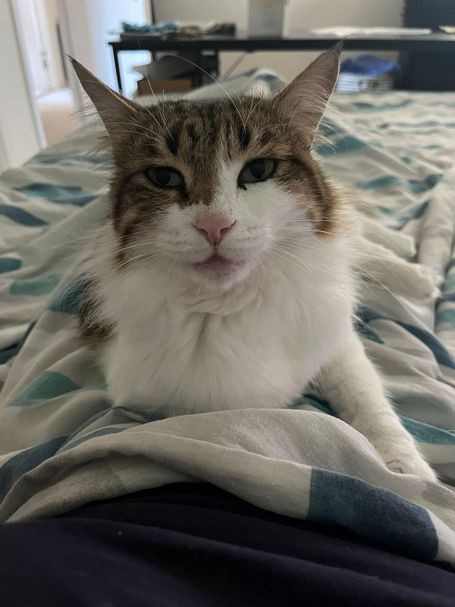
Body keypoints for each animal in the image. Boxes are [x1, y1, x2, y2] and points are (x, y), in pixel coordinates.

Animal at [72, 47, 438, 482]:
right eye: (163, 177)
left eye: (259, 170)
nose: (214, 225)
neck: (228, 306)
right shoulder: (146, 395)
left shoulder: (335, 338)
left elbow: (367, 399)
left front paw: (406, 469)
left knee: (363, 234)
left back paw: (418, 273)